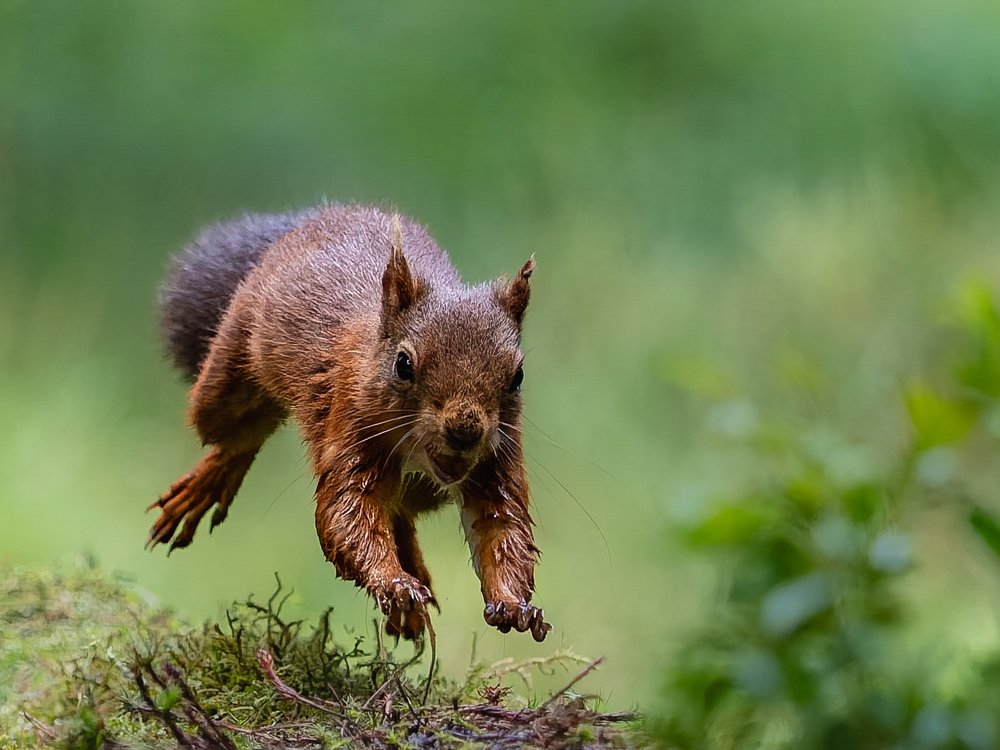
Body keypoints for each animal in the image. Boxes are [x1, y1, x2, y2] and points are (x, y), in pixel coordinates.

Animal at [148, 203, 551, 642]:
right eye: (403, 364)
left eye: (518, 376)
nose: (464, 431)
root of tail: (311, 219)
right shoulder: (352, 425)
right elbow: (347, 512)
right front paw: (395, 583)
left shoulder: (498, 455)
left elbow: (503, 525)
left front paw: (514, 604)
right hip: (227, 379)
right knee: (239, 431)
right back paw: (211, 478)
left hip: (425, 492)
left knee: (399, 511)